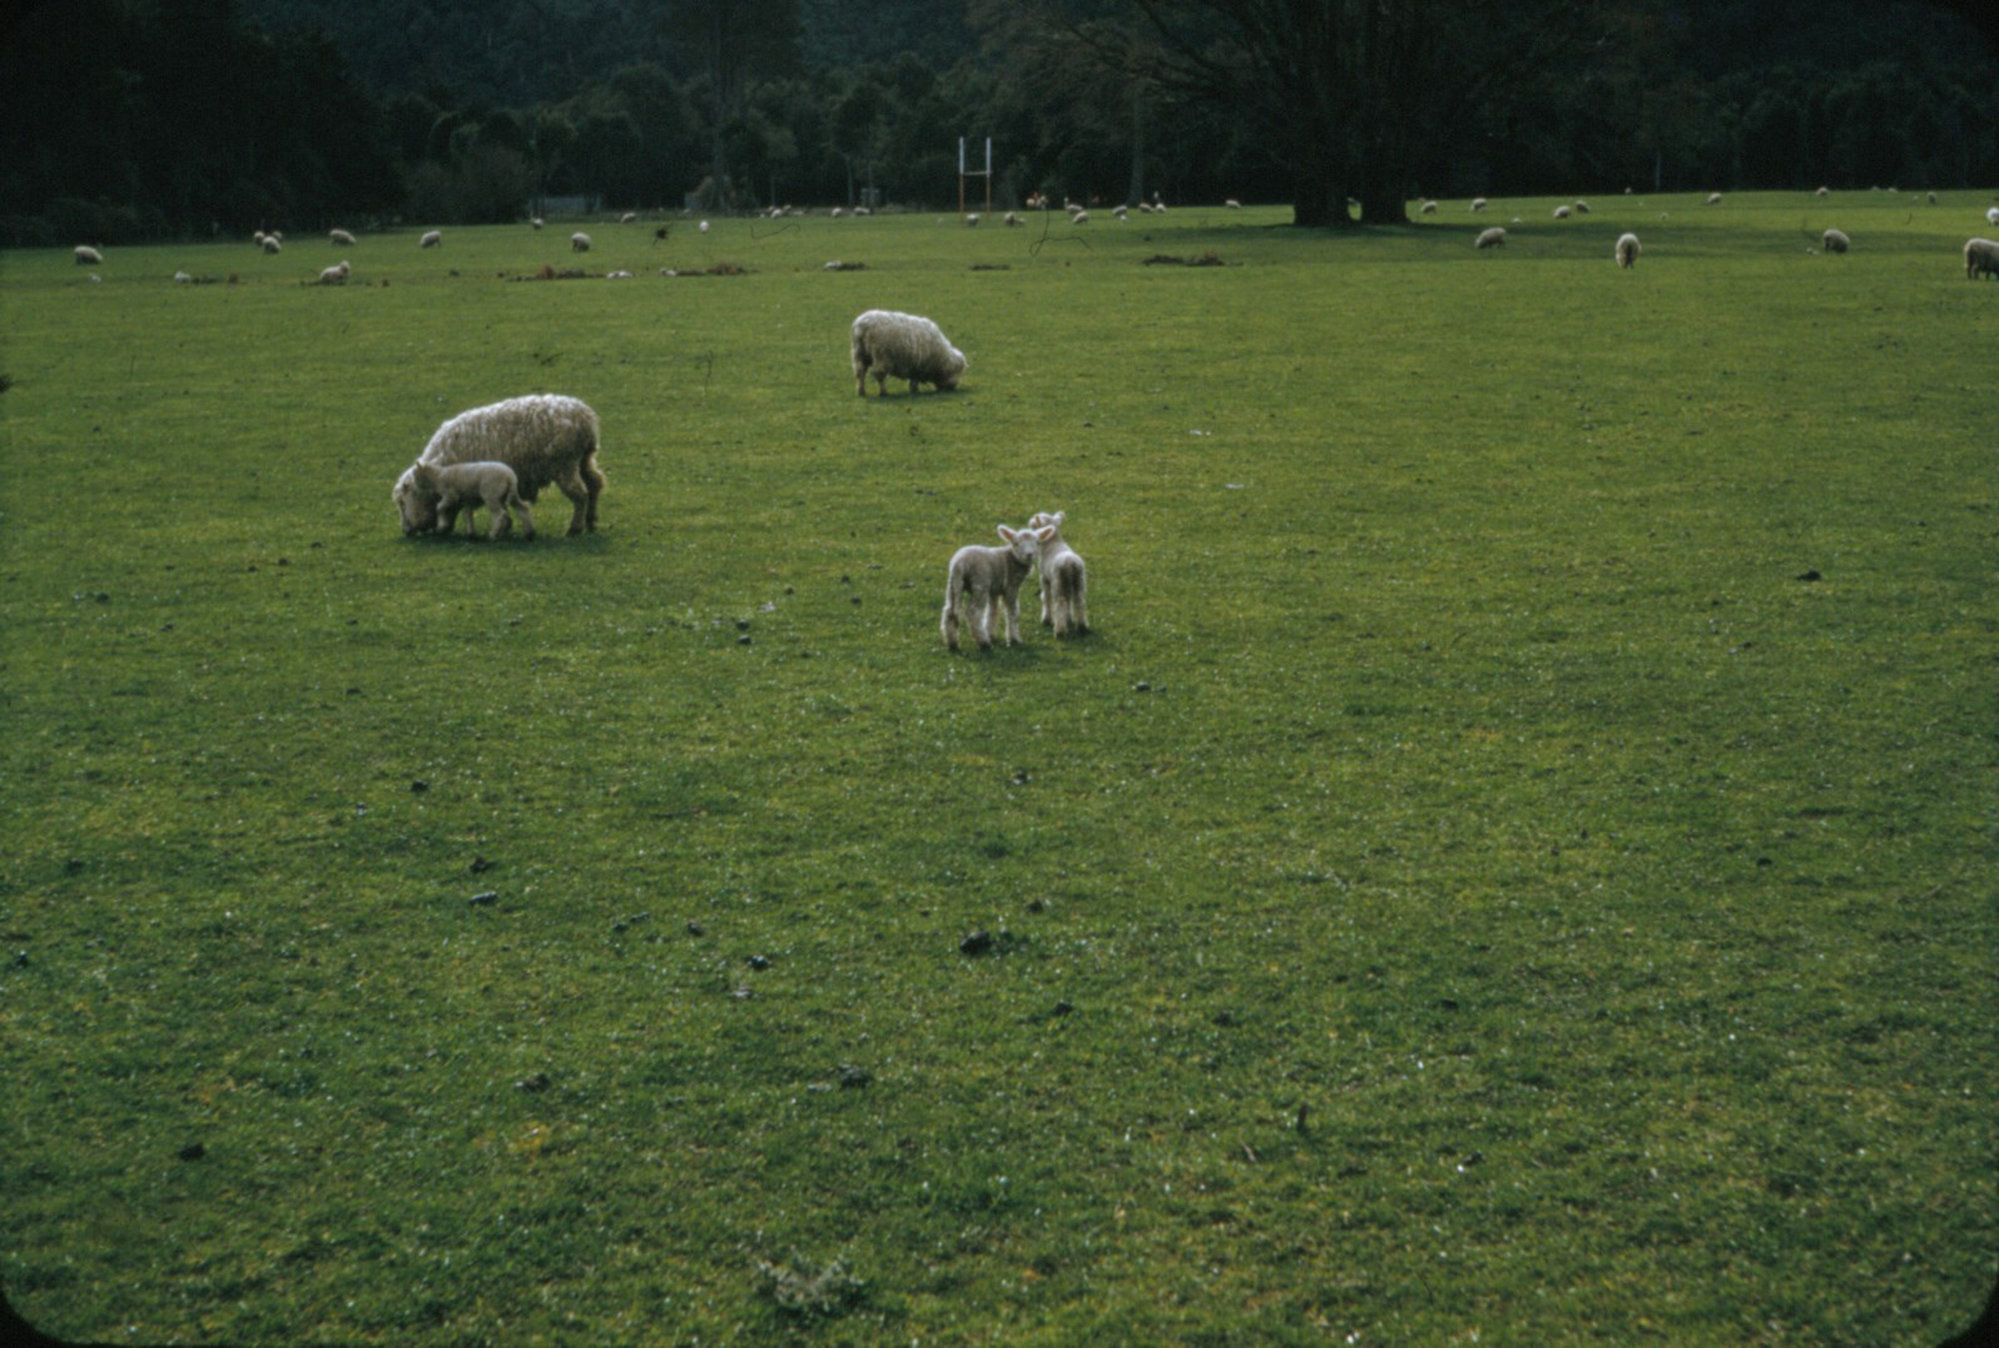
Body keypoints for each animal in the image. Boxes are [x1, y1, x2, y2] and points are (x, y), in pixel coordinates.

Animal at [394, 393, 604, 537]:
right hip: (584, 459)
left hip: (564, 465)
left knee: (580, 494)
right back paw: (591, 521)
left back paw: (575, 528)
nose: (406, 530)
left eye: (403, 503)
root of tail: (585, 417)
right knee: (594, 484)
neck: (440, 468)